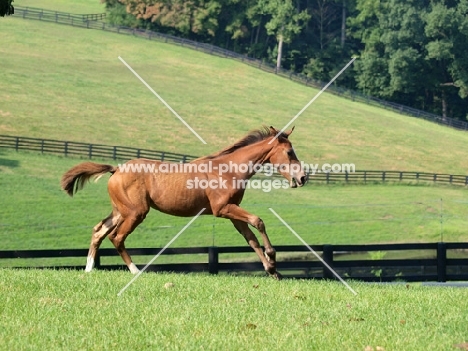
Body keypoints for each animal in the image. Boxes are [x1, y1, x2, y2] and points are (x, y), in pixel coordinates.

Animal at [61, 125, 308, 280]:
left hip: (120, 211)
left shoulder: (233, 214)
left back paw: (89, 269)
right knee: (116, 237)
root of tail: (116, 170)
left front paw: (273, 271)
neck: (228, 169)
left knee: (99, 231)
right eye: (289, 152)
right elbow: (259, 221)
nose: (303, 177)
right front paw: (273, 260)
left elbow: (251, 239)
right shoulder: (223, 209)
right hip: (136, 212)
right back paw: (135, 271)